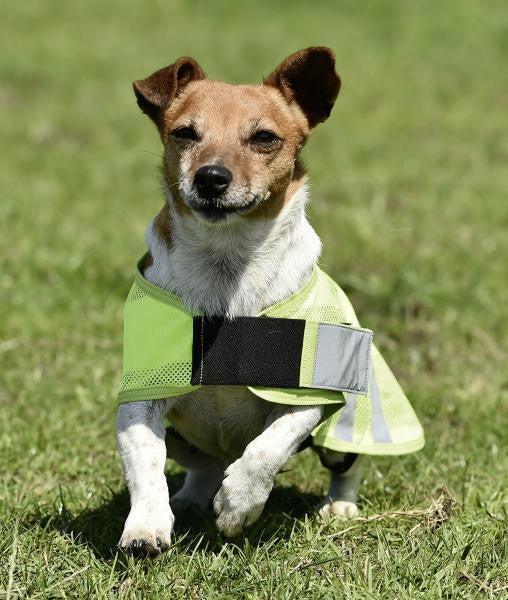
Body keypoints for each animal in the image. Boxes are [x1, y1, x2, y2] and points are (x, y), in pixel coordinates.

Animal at [116, 48, 374, 556]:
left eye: (264, 138)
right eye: (184, 133)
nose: (211, 177)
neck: (226, 271)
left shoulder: (307, 396)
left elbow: (268, 446)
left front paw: (239, 504)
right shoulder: (142, 397)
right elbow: (146, 460)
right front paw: (146, 525)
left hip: (351, 415)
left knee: (345, 464)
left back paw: (339, 506)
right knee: (201, 465)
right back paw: (192, 496)